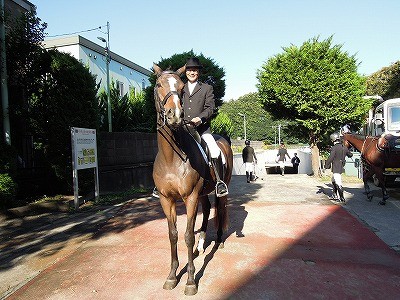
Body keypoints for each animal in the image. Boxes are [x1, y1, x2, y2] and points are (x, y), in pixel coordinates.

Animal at [153, 63, 234, 296]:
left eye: (181, 88)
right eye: (158, 85)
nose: (175, 115)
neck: (172, 157)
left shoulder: (189, 197)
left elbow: (187, 234)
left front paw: (190, 281)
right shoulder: (167, 199)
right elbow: (173, 234)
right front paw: (172, 276)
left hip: (219, 189)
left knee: (220, 209)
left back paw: (219, 241)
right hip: (203, 192)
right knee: (206, 210)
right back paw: (200, 245)